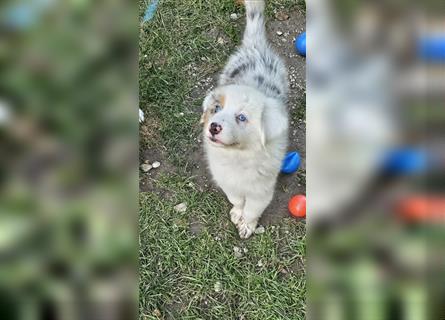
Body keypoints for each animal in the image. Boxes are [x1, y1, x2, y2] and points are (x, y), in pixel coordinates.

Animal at [201, 0, 288, 239]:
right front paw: (236, 213)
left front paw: (247, 225)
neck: (238, 156)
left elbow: (252, 209)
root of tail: (254, 46)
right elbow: (237, 199)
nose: (213, 127)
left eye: (241, 117)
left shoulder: (262, 190)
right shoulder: (227, 181)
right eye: (216, 108)